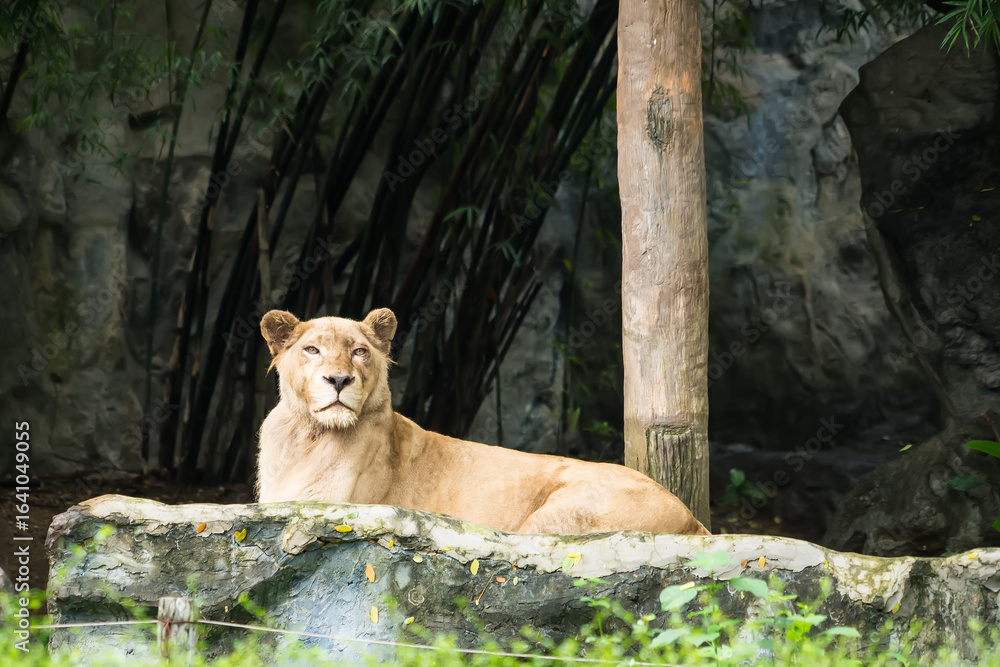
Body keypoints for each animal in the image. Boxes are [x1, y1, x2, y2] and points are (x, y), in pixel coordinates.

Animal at [257, 308, 710, 535]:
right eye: (312, 350)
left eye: (359, 352)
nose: (339, 380)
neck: (306, 435)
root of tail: (692, 516)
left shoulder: (333, 504)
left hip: (555, 519)